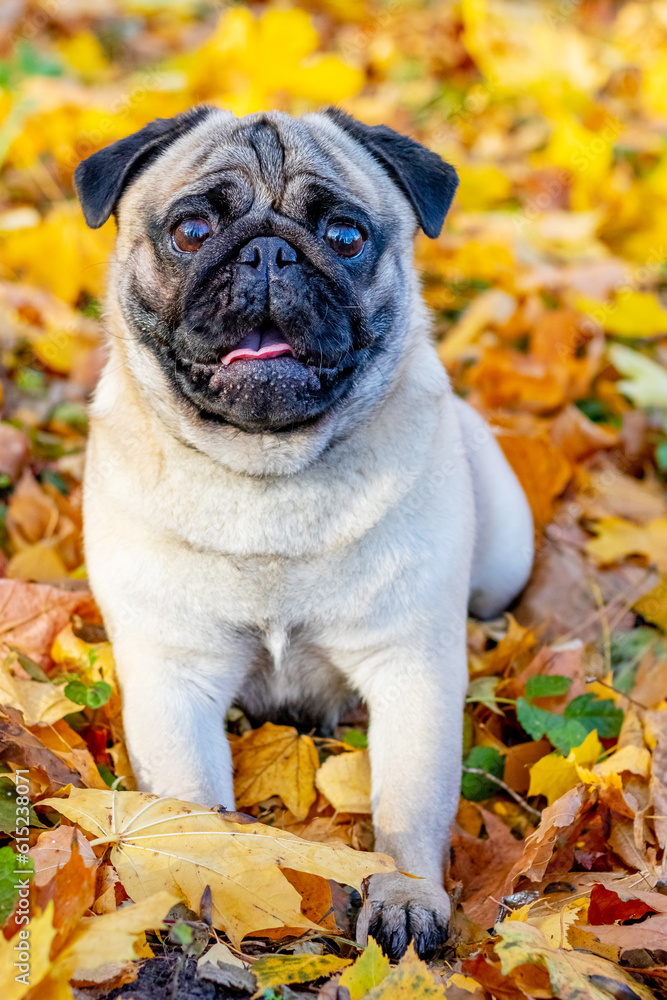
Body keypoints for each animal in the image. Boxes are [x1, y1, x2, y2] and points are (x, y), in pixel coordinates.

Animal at [74, 107, 532, 960]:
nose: (267, 251)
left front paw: (405, 896)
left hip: (505, 556)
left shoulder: (410, 672)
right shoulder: (173, 678)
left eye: (345, 236)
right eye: (191, 230)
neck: (266, 477)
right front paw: (208, 885)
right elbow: (193, 804)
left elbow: (406, 807)